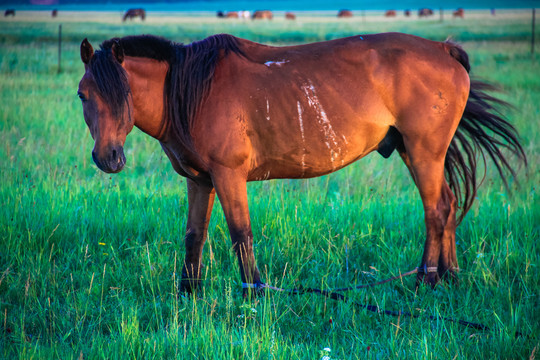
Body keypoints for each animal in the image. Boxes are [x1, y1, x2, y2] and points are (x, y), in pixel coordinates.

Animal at [78, 32, 524, 296]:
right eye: (84, 94)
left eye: (123, 93)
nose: (108, 157)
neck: (191, 89)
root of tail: (443, 49)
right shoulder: (200, 180)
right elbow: (194, 235)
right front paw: (188, 293)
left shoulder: (228, 175)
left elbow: (241, 234)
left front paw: (254, 293)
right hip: (417, 154)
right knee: (447, 207)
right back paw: (449, 277)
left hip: (423, 153)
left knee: (436, 210)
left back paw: (427, 279)